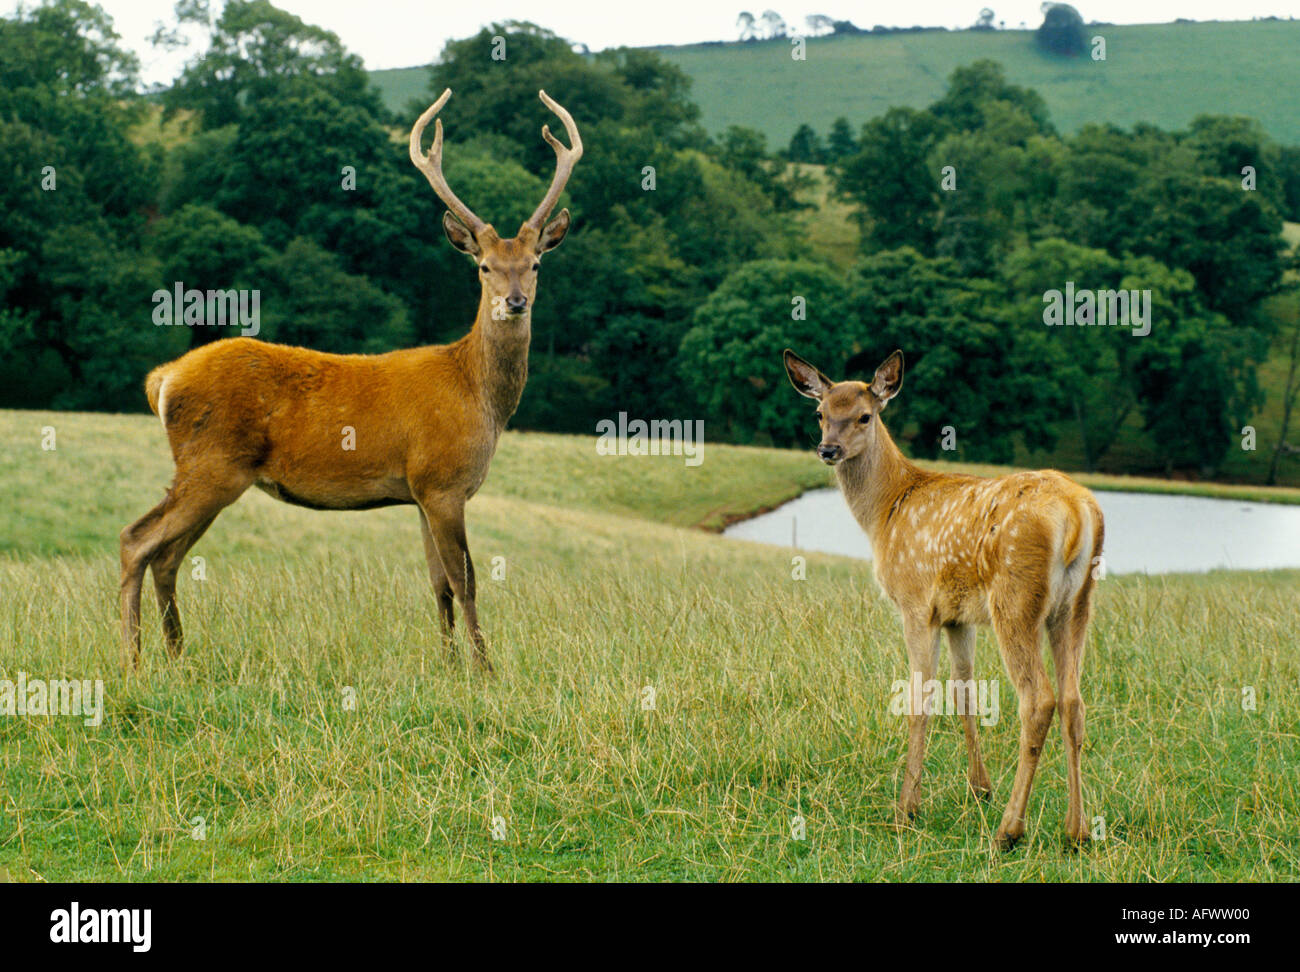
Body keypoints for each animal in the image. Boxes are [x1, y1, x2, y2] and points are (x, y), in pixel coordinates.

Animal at [119, 89, 582, 670]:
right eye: (484, 267)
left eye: (536, 263)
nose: (514, 301)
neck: (479, 396)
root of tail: (163, 379)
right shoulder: (444, 480)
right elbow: (467, 580)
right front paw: (485, 670)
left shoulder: (421, 490)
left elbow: (439, 584)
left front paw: (450, 666)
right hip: (211, 463)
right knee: (137, 539)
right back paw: (133, 660)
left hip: (214, 472)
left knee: (167, 555)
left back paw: (178, 656)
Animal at [785, 348, 1102, 852]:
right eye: (820, 413)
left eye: (865, 416)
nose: (827, 450)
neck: (886, 510)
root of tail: (1077, 514)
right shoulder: (959, 616)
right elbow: (965, 691)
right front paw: (979, 788)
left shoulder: (916, 602)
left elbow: (920, 696)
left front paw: (906, 809)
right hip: (1075, 605)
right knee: (1074, 701)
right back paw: (1077, 831)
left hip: (1016, 598)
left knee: (1039, 700)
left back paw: (1009, 831)